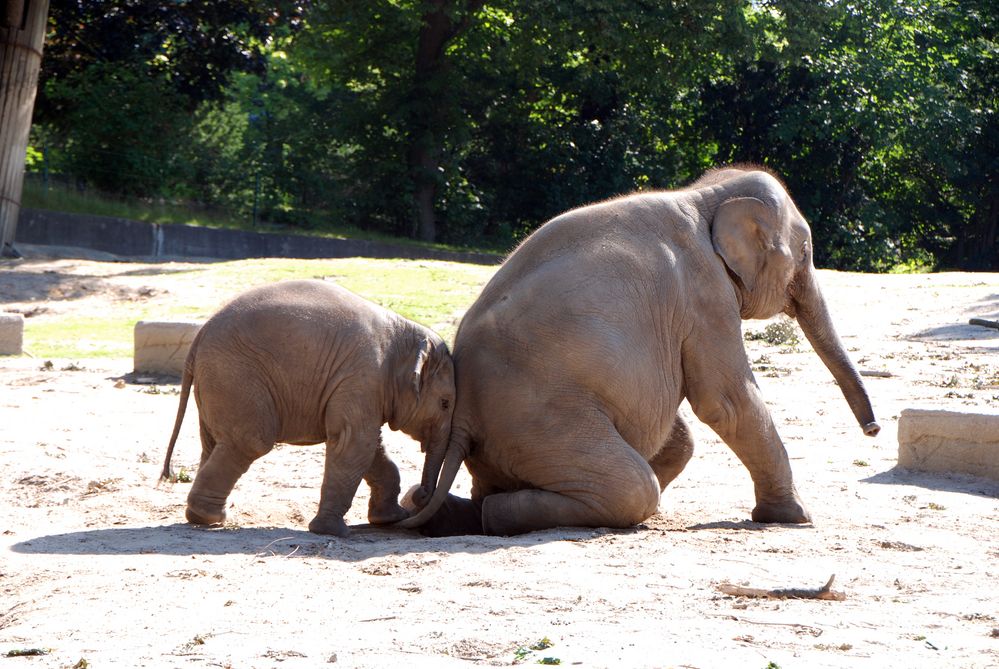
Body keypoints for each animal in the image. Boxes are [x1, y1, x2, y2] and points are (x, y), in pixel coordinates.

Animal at [161, 278, 458, 536]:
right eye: (445, 404)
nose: (420, 494)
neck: (405, 335)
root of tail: (200, 336)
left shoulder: (364, 388)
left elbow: (372, 447)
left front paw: (390, 519)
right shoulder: (362, 377)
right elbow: (354, 443)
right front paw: (333, 532)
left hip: (217, 383)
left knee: (214, 443)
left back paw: (205, 517)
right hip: (234, 376)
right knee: (250, 442)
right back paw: (211, 518)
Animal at [402, 164, 880, 536]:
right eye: (805, 251)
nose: (874, 430)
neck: (703, 196)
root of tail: (461, 417)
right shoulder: (706, 297)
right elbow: (727, 402)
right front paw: (796, 517)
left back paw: (440, 510)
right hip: (538, 421)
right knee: (632, 486)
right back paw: (495, 517)